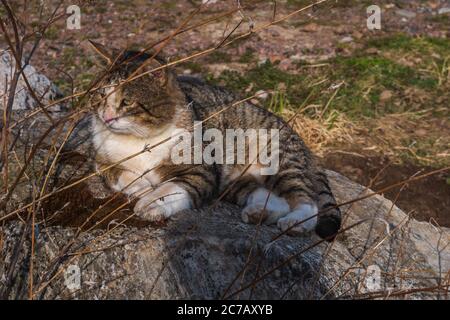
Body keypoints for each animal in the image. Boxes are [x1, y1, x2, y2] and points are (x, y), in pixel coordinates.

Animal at [88, 40, 342, 240]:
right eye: (100, 94)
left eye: (126, 101)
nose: (106, 116)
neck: (139, 138)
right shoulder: (100, 161)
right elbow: (118, 174)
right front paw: (141, 186)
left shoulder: (200, 171)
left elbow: (172, 187)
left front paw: (150, 201)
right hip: (235, 183)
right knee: (275, 199)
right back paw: (259, 214)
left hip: (280, 160)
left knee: (306, 200)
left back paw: (295, 223)